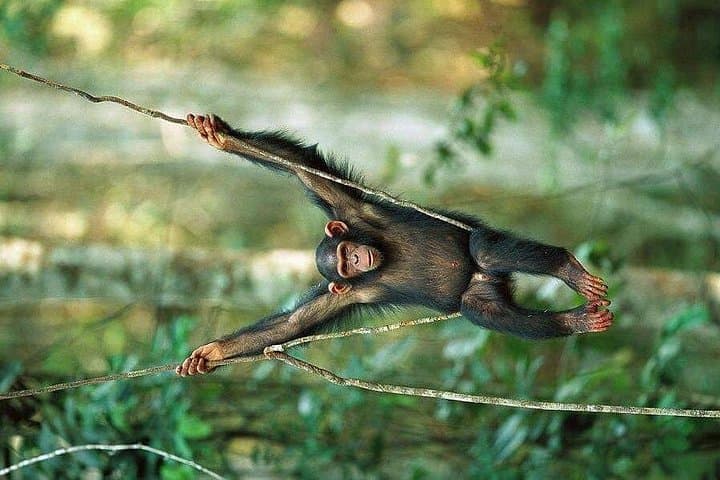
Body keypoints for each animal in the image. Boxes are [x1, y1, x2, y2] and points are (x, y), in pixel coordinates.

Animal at [176, 113, 611, 376]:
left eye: (346, 254)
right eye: (345, 266)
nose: (357, 257)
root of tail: (487, 278)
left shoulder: (351, 210)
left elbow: (305, 170)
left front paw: (221, 137)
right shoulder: (344, 295)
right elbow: (292, 324)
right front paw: (212, 353)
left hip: (480, 249)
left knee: (485, 249)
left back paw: (567, 270)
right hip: (481, 295)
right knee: (489, 313)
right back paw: (573, 320)